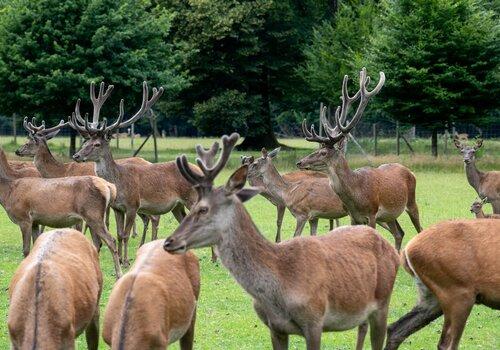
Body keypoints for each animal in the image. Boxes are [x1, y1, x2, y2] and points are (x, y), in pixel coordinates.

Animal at [70, 82, 199, 266]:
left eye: (96, 144)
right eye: (85, 142)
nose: (76, 156)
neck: (119, 182)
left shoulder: (133, 204)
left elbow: (125, 234)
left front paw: (125, 261)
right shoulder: (117, 207)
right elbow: (118, 234)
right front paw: (121, 258)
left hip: (192, 197)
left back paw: (213, 258)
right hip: (178, 205)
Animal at [165, 134, 402, 350]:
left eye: (255, 163)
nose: (170, 242)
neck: (286, 192)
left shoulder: (302, 214)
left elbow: (291, 233)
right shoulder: (311, 217)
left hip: (376, 217)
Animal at [296, 67, 422, 250]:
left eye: (324, 153)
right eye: (318, 149)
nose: (300, 162)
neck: (356, 194)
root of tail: (410, 171)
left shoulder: (372, 213)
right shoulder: (353, 217)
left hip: (411, 202)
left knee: (419, 229)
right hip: (390, 215)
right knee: (399, 233)